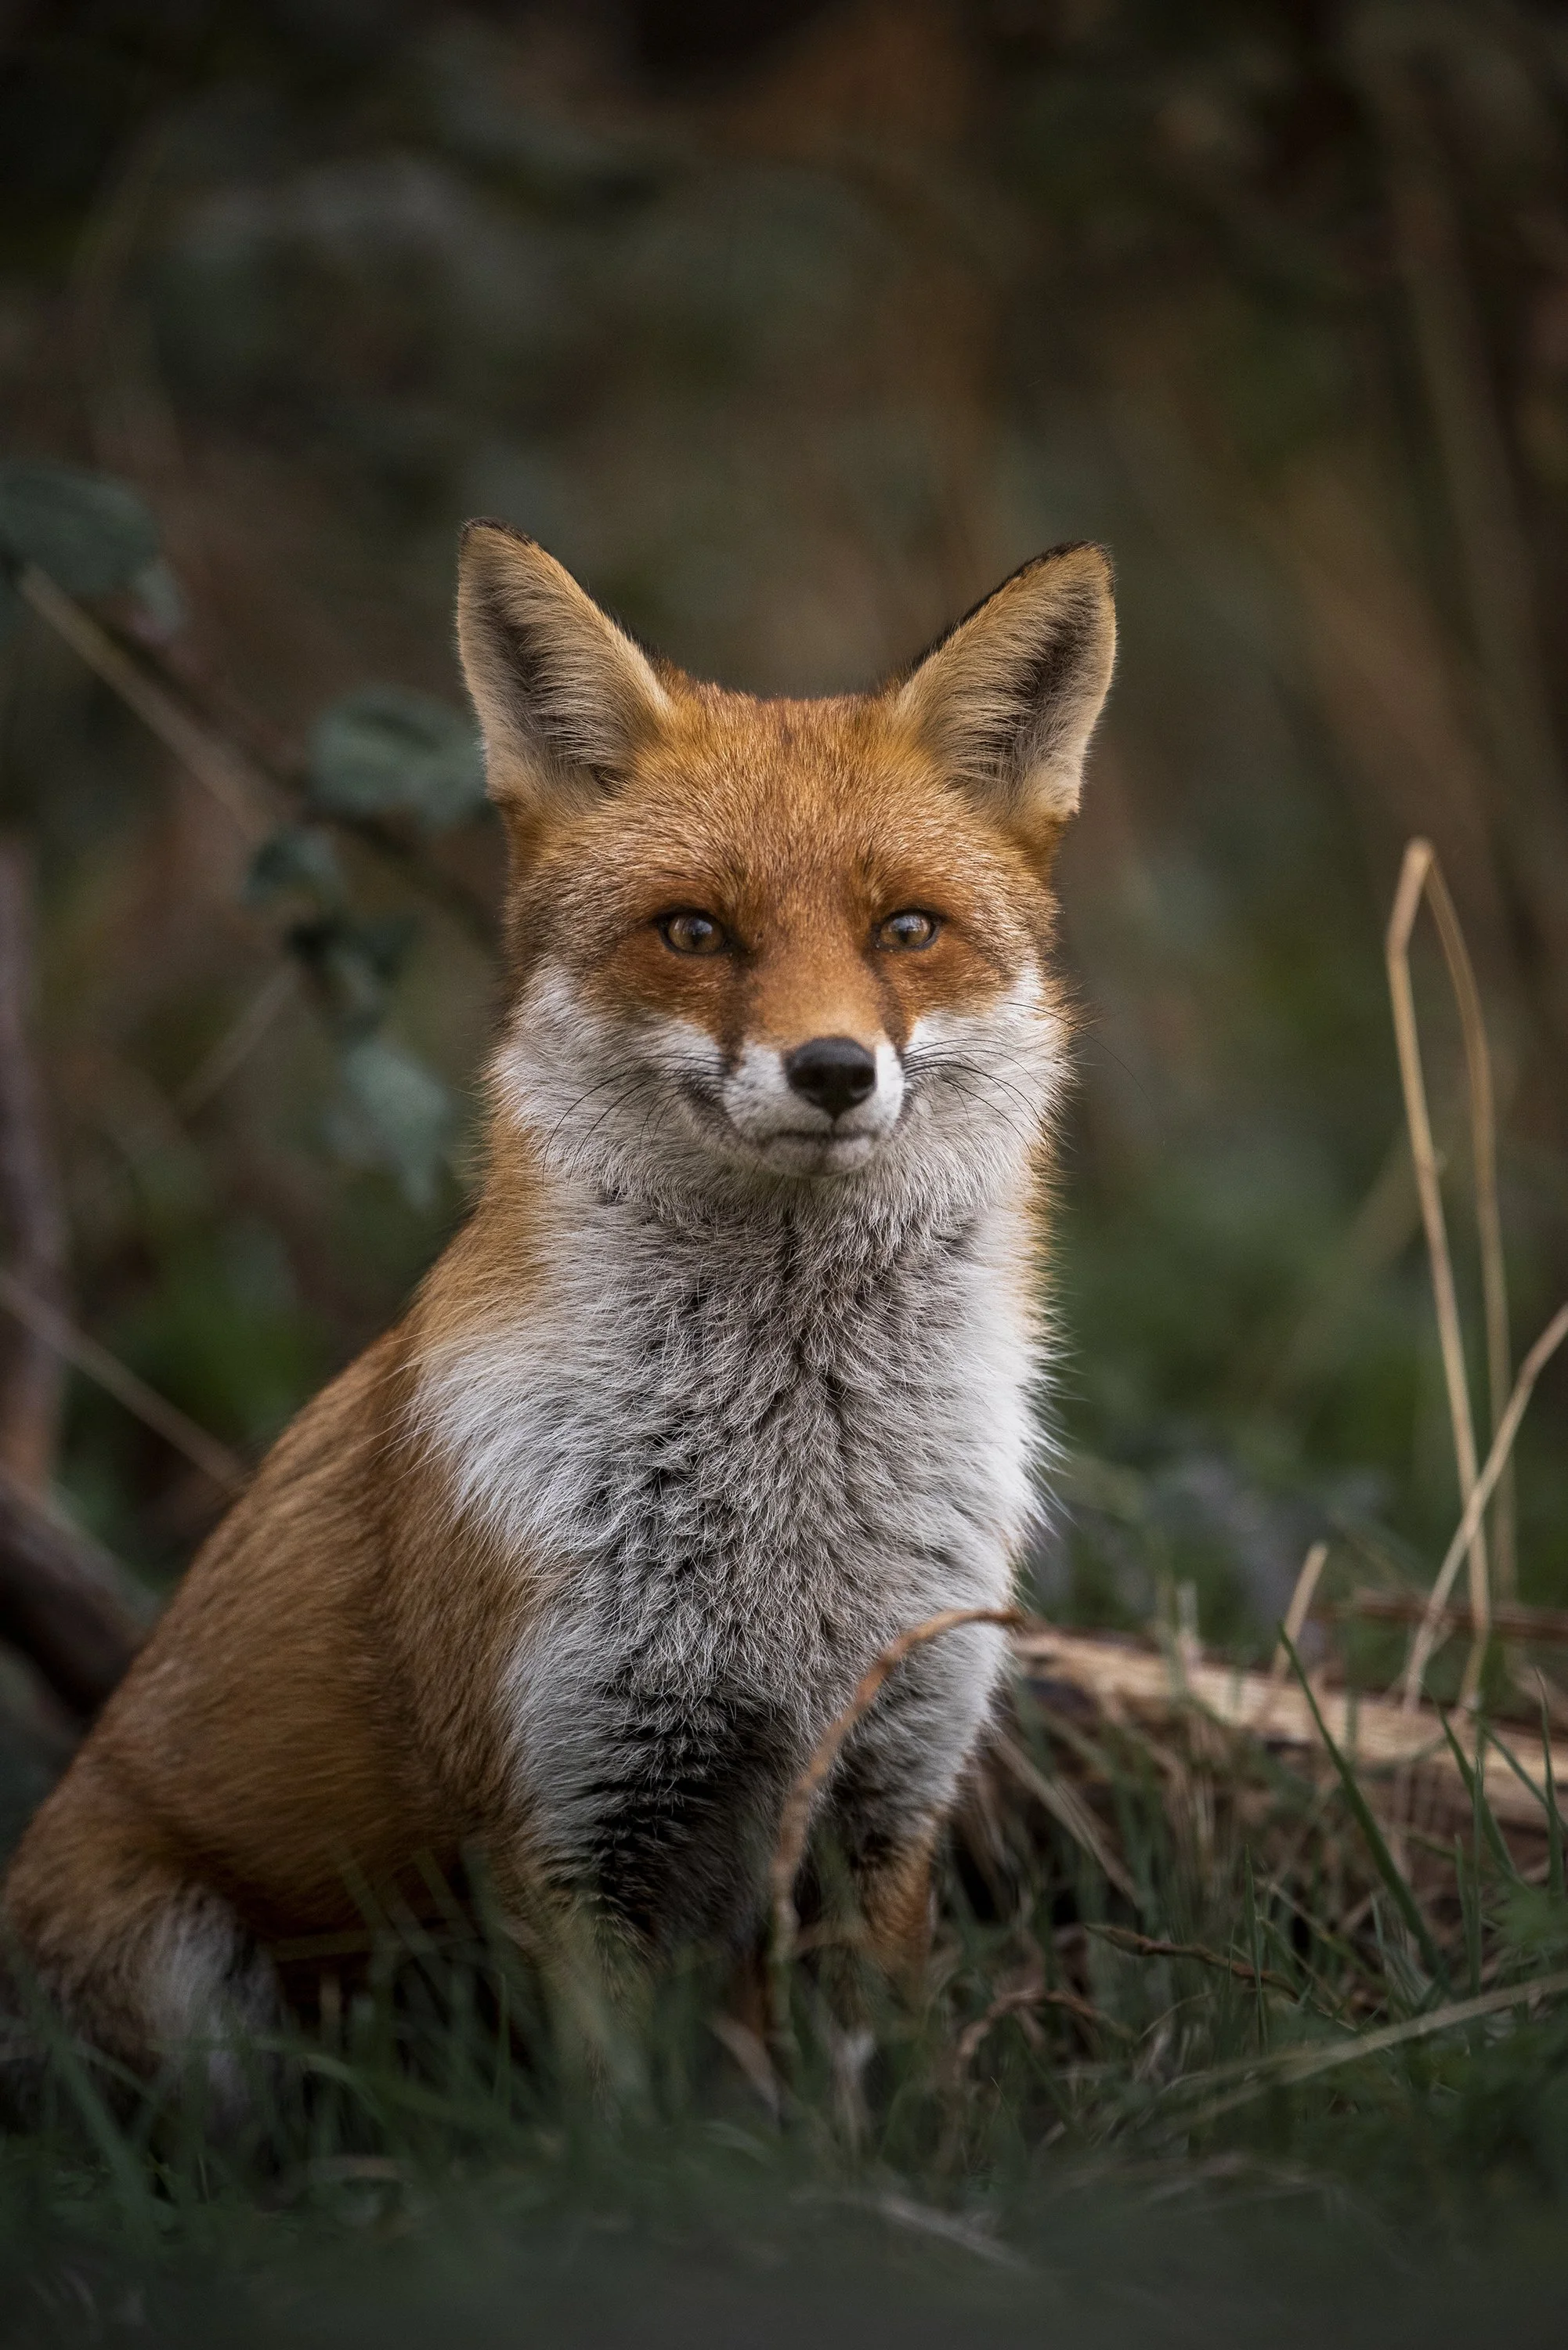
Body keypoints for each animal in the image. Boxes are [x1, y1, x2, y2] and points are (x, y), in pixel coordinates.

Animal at [1, 524, 1115, 2076]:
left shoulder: (886, 1788)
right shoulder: (574, 1812)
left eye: (907, 928)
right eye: (693, 931)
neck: (789, 1516)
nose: (834, 1069)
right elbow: (619, 2119)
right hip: (193, 1988)